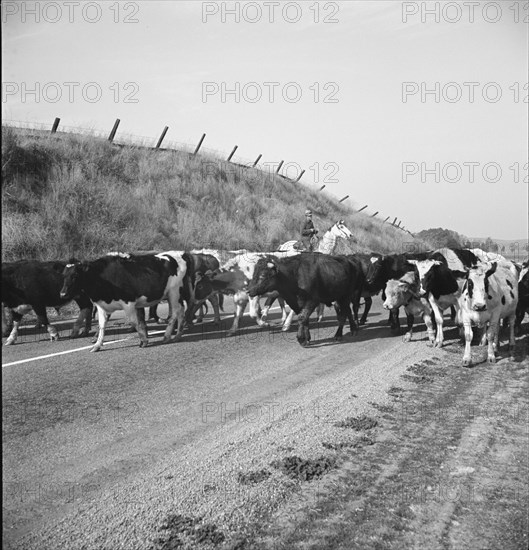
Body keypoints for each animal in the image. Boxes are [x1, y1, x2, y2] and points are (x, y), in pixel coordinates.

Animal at [60, 251, 192, 354]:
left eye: (75, 275)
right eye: (63, 275)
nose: (62, 294)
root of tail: (174, 255)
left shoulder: (128, 303)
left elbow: (134, 321)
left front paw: (144, 341)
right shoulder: (101, 306)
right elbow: (102, 325)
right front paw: (97, 345)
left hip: (174, 292)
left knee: (175, 312)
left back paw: (167, 336)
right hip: (173, 295)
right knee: (180, 310)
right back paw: (178, 335)